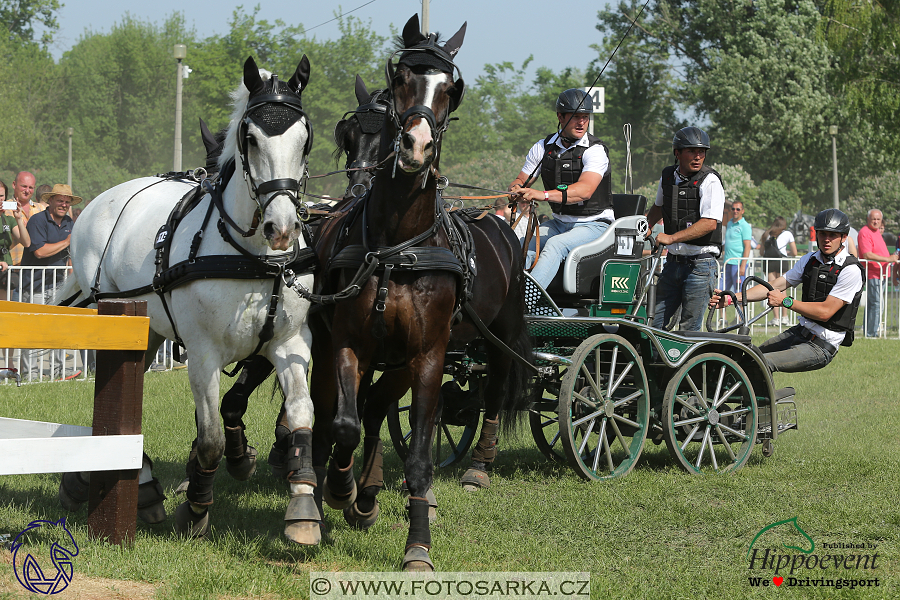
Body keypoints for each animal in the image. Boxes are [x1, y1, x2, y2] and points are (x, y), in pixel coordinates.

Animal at [312, 15, 536, 572]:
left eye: (450, 90)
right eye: (400, 80)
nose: (415, 146)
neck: (398, 246)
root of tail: (501, 222)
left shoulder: (430, 354)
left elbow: (417, 454)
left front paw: (417, 546)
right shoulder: (352, 344)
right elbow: (346, 423)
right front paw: (345, 490)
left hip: (496, 331)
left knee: (495, 385)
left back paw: (479, 464)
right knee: (367, 408)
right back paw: (361, 491)